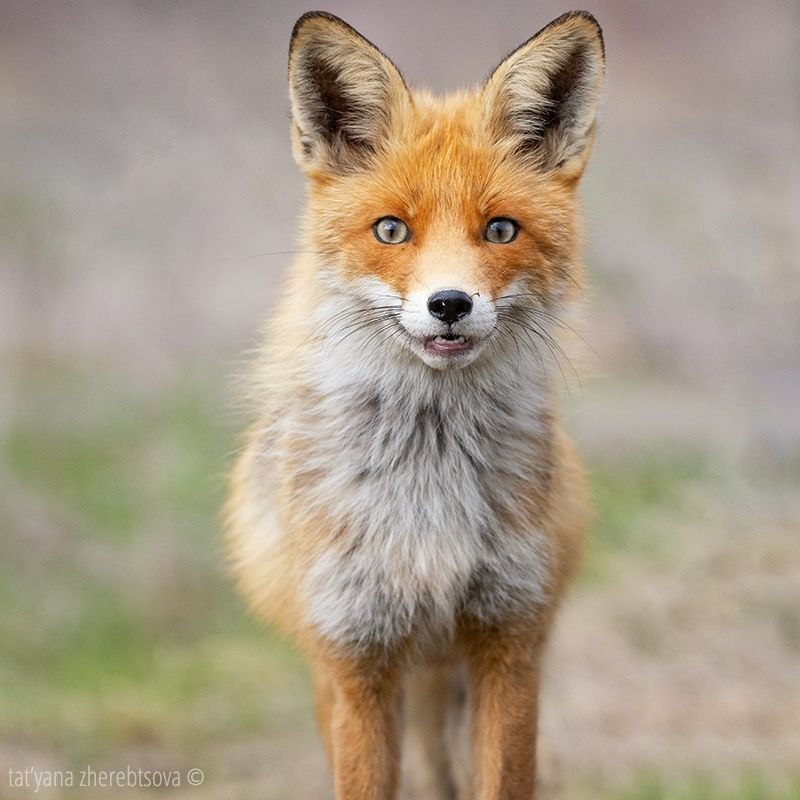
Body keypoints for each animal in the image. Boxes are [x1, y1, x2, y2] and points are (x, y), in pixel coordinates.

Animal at [225, 9, 604, 800]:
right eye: (391, 230)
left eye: (500, 229)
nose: (450, 303)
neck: (427, 497)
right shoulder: (355, 654)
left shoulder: (509, 638)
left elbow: (502, 779)